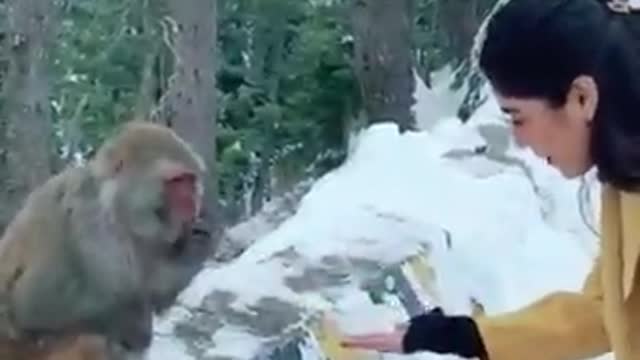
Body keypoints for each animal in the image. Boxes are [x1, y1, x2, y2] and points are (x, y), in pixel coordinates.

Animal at [0, 121, 212, 358]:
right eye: (177, 182)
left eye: (190, 181)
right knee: (90, 338)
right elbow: (34, 304)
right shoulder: (89, 220)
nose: (192, 200)